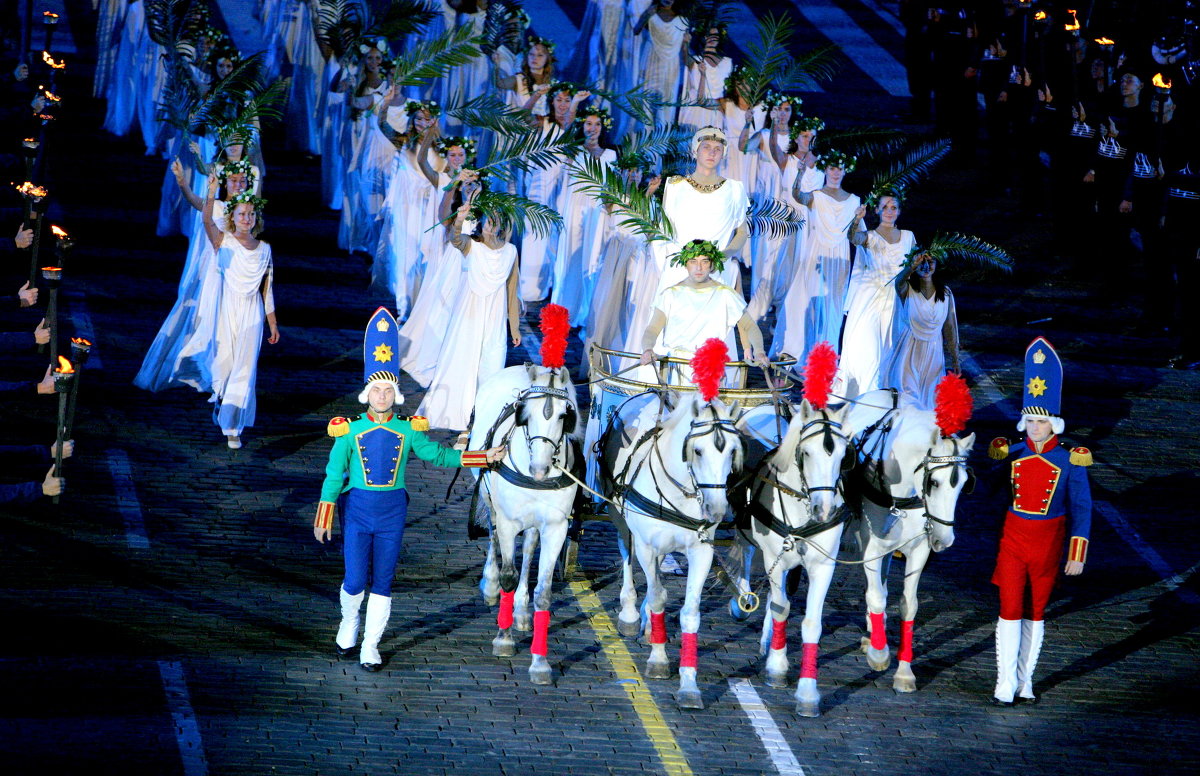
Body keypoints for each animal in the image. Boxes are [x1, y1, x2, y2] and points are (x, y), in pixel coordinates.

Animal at [468, 364, 580, 686]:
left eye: (564, 415)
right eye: (524, 415)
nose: (539, 469)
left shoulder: (556, 527)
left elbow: (544, 593)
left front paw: (540, 663)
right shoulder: (508, 521)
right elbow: (508, 573)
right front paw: (503, 639)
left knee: (529, 547)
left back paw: (520, 610)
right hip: (490, 499)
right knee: (493, 537)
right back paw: (491, 586)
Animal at [604, 395, 744, 710]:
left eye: (733, 450)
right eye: (698, 450)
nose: (717, 509)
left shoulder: (701, 553)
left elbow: (690, 612)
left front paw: (689, 685)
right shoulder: (646, 545)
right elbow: (658, 598)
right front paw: (658, 660)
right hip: (620, 516)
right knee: (626, 553)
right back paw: (630, 614)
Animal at [724, 398, 859, 719]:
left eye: (843, 455)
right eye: (806, 453)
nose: (823, 510)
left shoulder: (823, 566)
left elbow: (811, 622)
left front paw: (808, 693)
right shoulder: (777, 559)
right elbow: (781, 608)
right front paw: (777, 668)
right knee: (746, 553)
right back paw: (742, 601)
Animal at [844, 390, 974, 695]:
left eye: (964, 484)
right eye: (934, 482)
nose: (945, 539)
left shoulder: (919, 551)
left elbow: (908, 605)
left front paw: (904, 672)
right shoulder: (873, 547)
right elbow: (877, 597)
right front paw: (879, 654)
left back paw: (873, 630)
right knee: (874, 587)